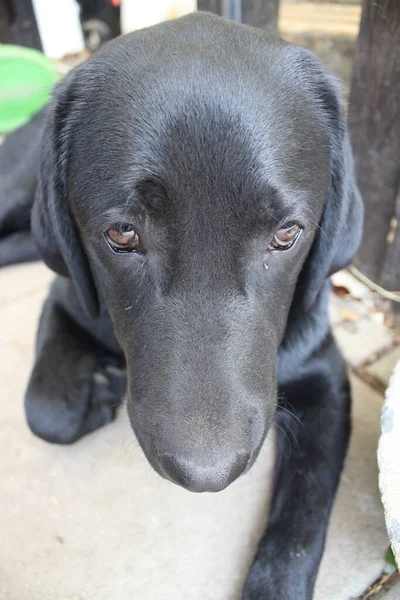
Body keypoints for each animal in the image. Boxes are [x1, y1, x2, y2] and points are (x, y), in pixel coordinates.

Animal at [23, 11, 364, 596]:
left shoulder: (323, 371)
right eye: (122, 234)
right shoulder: (66, 297)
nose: (207, 474)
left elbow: (303, 517)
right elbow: (45, 412)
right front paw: (98, 388)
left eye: (286, 234)